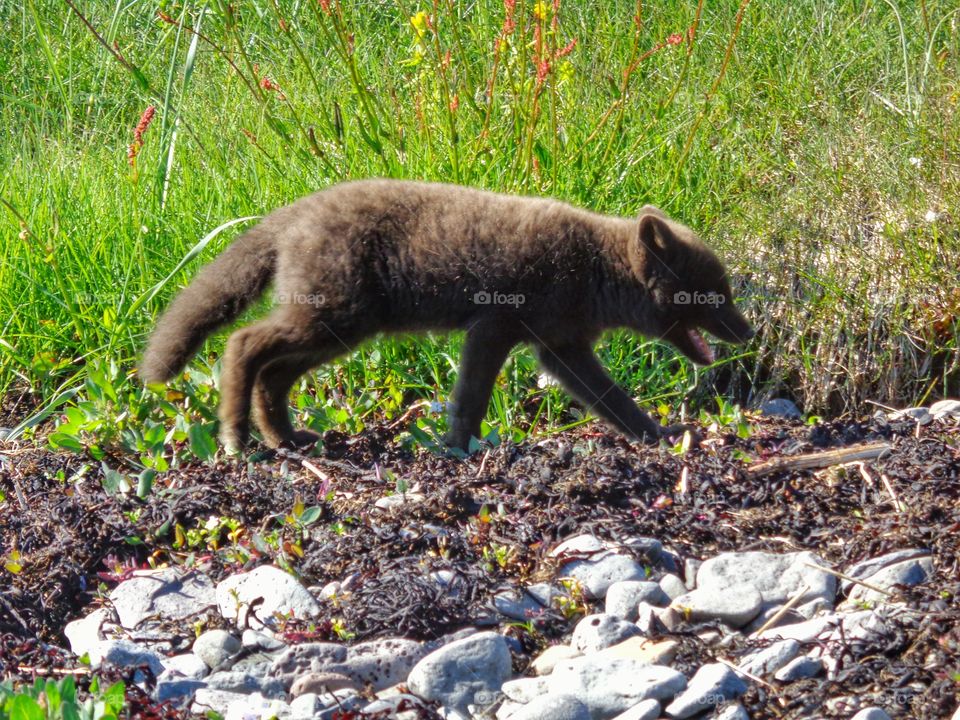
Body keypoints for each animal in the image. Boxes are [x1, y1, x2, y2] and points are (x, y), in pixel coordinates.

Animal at [140, 179, 754, 453]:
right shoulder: (495, 329)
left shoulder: (561, 348)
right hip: (332, 319)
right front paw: (460, 449)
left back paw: (287, 437)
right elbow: (471, 397)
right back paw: (236, 435)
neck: (594, 270)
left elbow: (613, 401)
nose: (747, 332)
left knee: (273, 372)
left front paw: (658, 435)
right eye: (712, 295)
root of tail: (292, 213)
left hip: (340, 331)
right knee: (243, 345)